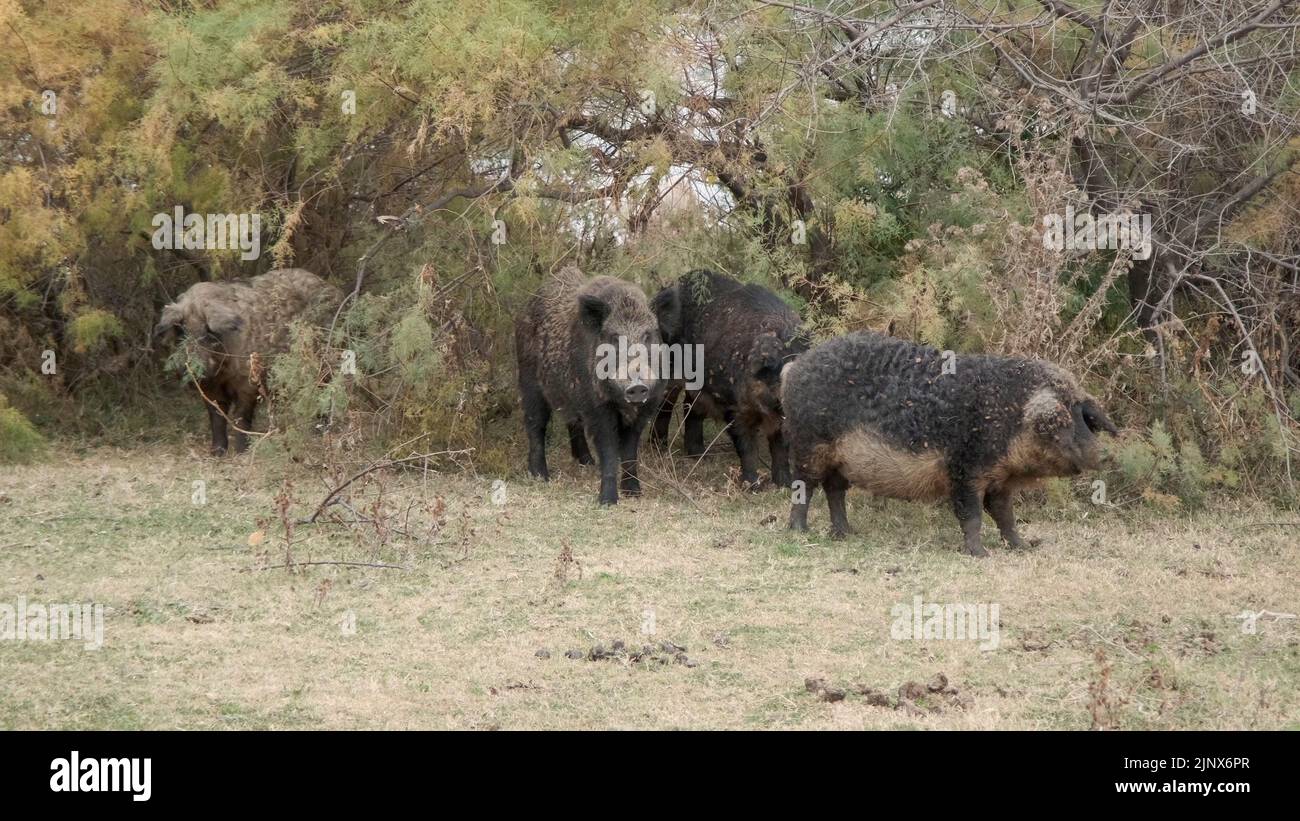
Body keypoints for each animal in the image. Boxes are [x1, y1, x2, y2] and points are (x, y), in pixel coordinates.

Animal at [154, 268, 341, 455]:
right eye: (182, 333)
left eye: (207, 334)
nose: (192, 368)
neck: (222, 371)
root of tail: (329, 287)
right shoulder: (209, 388)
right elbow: (216, 415)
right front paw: (217, 452)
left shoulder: (248, 381)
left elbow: (241, 415)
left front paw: (241, 451)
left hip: (326, 358)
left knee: (325, 390)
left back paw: (321, 430)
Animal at [515, 266, 676, 505]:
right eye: (614, 337)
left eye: (648, 335)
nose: (636, 386)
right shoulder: (597, 406)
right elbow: (609, 450)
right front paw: (608, 501)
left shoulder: (646, 408)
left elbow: (630, 451)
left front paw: (634, 493)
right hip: (529, 379)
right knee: (536, 424)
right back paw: (540, 476)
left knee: (572, 421)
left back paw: (586, 462)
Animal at [650, 269, 808, 489]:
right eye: (778, 370)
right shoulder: (733, 406)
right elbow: (746, 445)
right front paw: (752, 486)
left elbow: (780, 447)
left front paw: (785, 484)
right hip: (668, 368)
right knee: (665, 404)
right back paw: (660, 448)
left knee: (691, 408)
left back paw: (700, 455)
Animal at [782, 331, 1118, 556]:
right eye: (1065, 418)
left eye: (1084, 416)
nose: (1105, 455)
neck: (1009, 418)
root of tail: (795, 367)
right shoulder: (964, 468)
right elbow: (972, 514)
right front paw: (980, 554)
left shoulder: (999, 480)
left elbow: (1005, 515)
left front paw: (1023, 547)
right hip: (808, 444)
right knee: (804, 485)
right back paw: (800, 531)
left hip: (840, 458)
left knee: (834, 489)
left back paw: (846, 533)